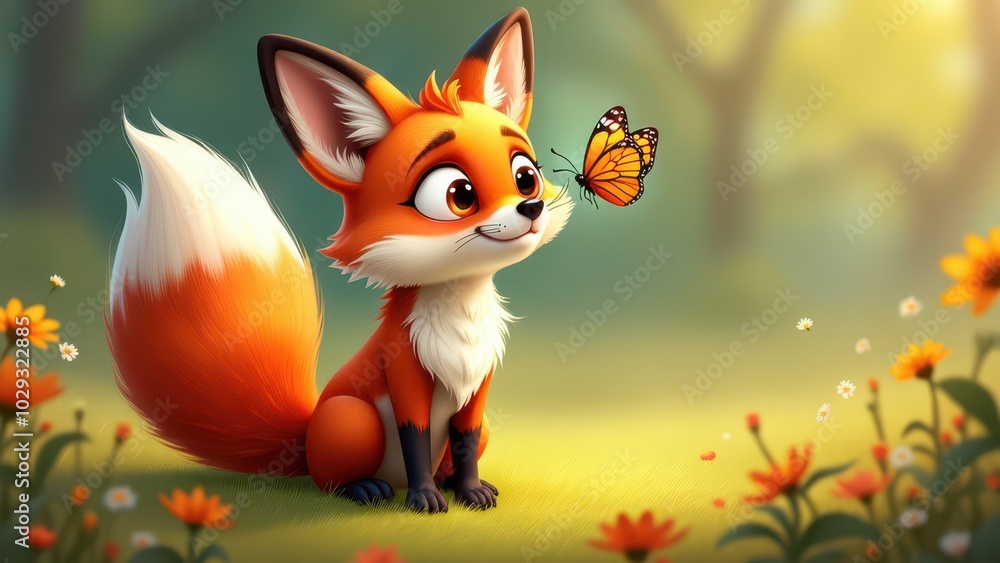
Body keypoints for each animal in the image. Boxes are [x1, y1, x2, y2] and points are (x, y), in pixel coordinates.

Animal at [105, 8, 572, 513]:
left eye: (525, 176)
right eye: (458, 194)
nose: (531, 207)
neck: (460, 320)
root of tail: (304, 438)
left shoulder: (477, 387)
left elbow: (464, 442)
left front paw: (468, 490)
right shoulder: (403, 374)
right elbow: (414, 436)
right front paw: (424, 500)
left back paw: (443, 481)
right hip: (353, 419)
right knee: (332, 480)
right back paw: (369, 488)